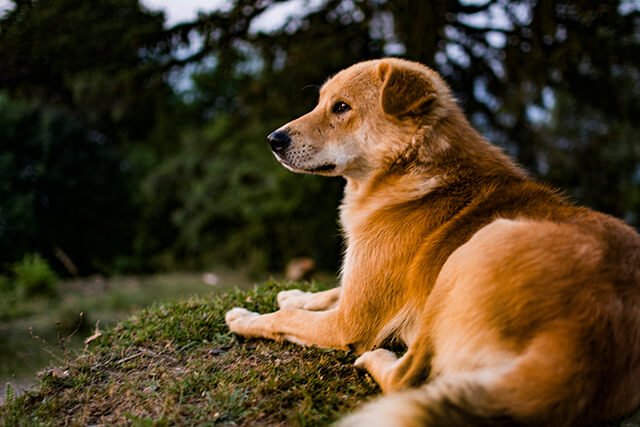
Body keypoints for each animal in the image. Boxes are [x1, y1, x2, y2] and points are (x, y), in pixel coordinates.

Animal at [224, 57, 640, 427]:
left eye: (341, 108)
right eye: (320, 102)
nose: (273, 140)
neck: (410, 169)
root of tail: (584, 341)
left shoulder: (350, 322)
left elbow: (286, 319)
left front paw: (248, 317)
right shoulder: (362, 286)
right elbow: (330, 290)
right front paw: (294, 294)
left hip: (469, 253)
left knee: (408, 378)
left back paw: (378, 359)